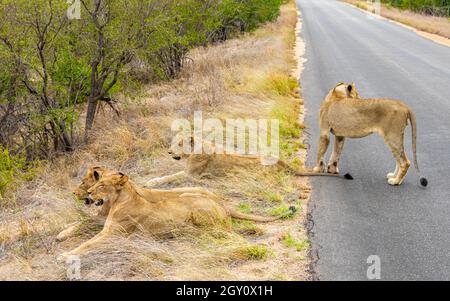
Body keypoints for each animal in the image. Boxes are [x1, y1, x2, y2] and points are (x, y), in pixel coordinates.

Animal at [59, 171, 296, 255]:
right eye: (93, 184)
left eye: (101, 185)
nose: (89, 192)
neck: (118, 201)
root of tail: (223, 206)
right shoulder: (106, 228)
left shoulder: (112, 234)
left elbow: (87, 244)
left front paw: (66, 255)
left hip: (196, 209)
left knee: (227, 234)